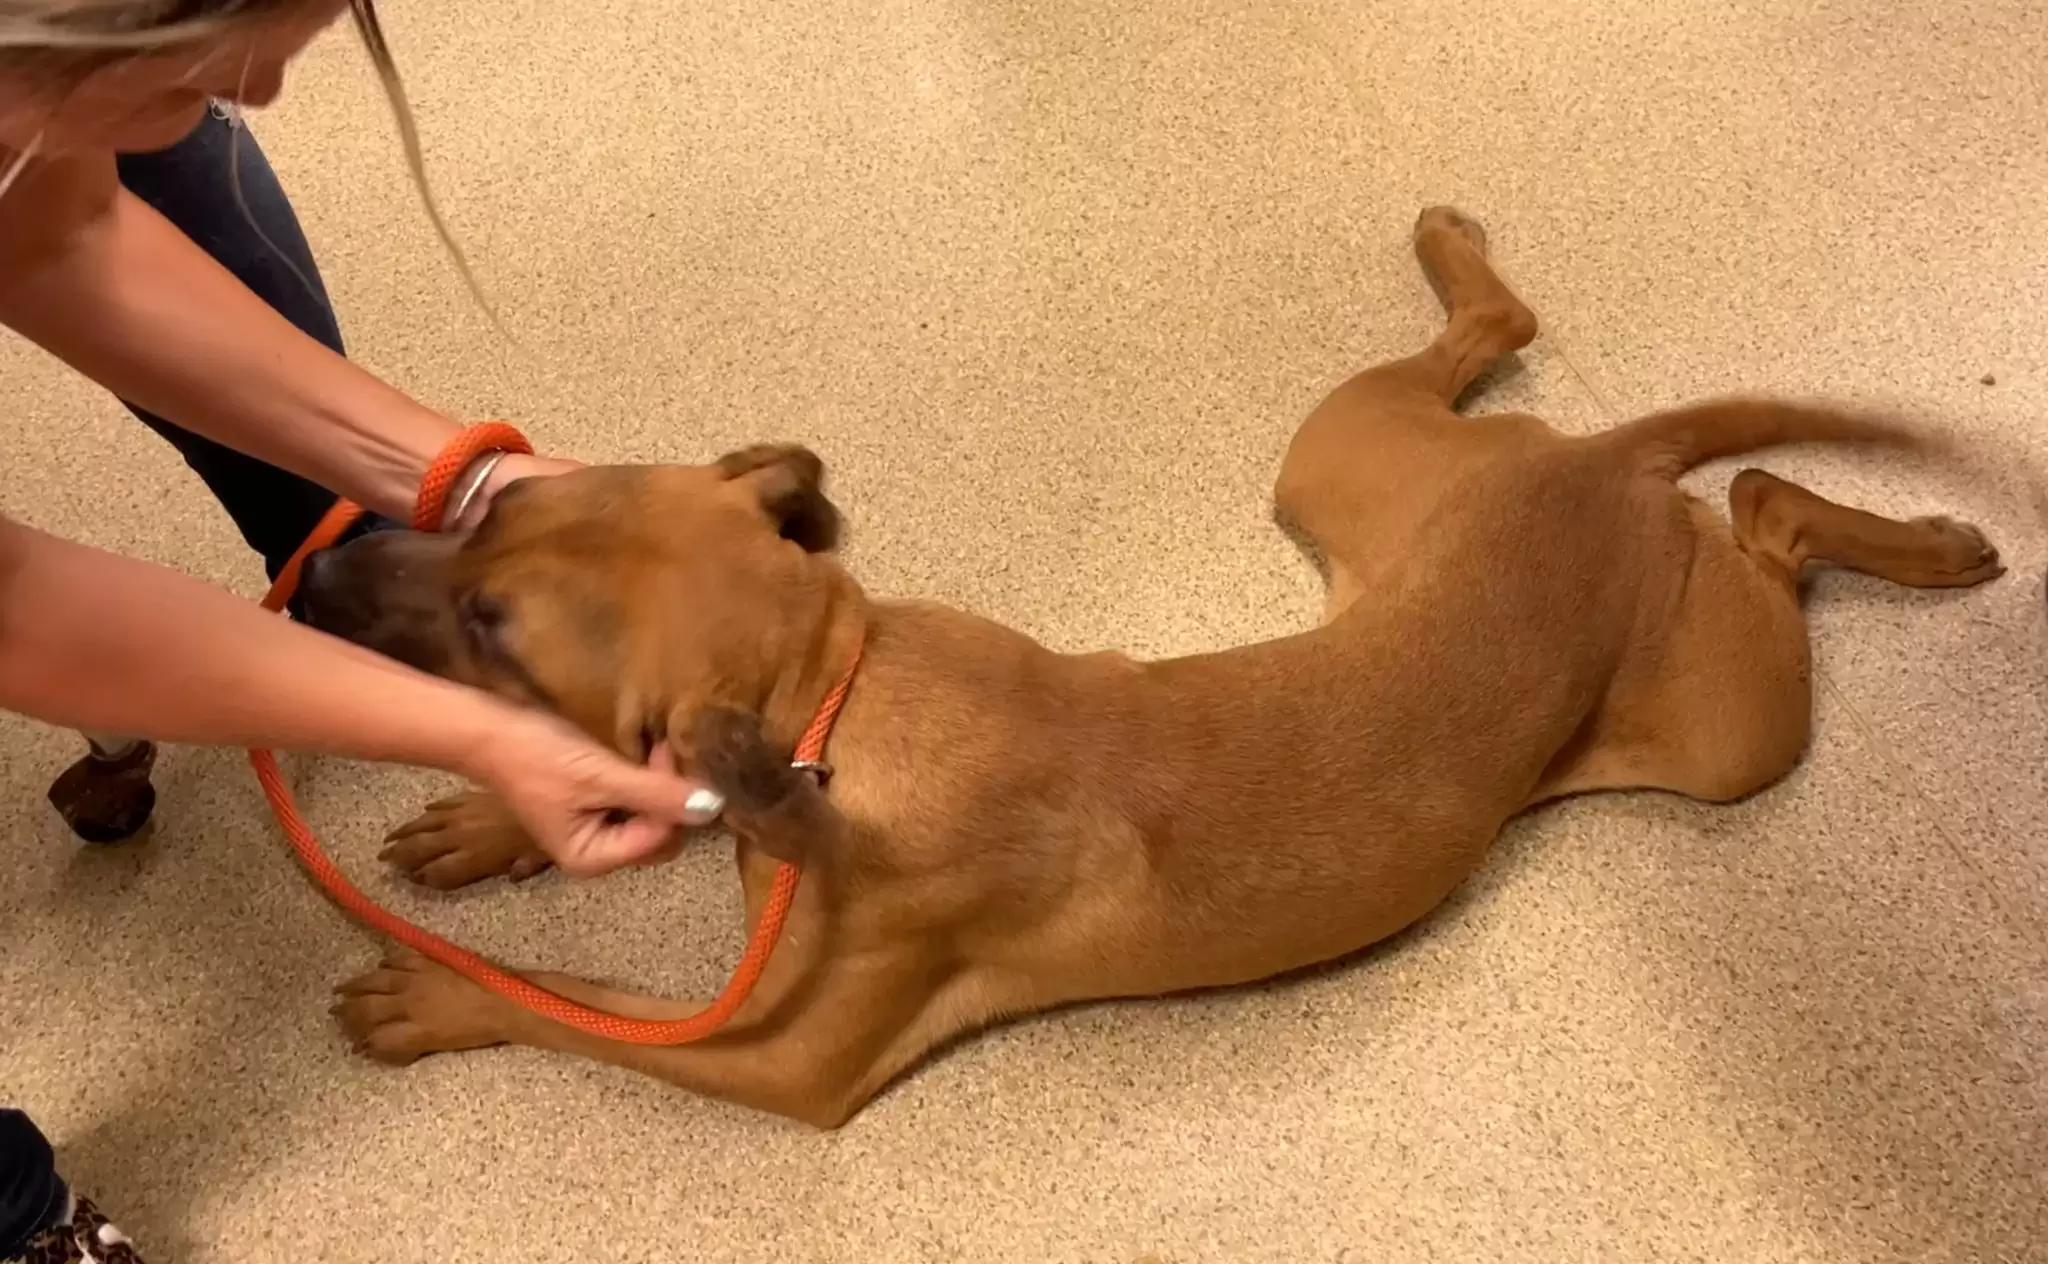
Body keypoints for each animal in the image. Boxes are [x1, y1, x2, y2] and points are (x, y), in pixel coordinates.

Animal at [296, 212, 2007, 1130]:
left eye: (497, 628)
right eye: (495, 506)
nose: (309, 579)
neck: (835, 685)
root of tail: (1598, 461)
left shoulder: (771, 1056)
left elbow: (569, 1004)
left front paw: (435, 997)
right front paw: (490, 825)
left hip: (1733, 725)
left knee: (1774, 515)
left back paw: (1926, 545)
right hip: (1337, 467)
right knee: (1551, 358)